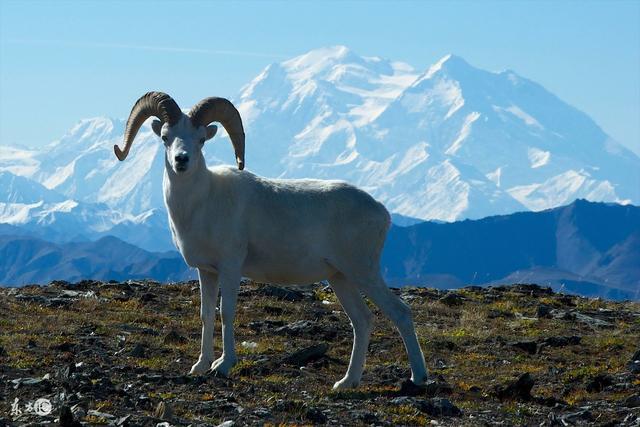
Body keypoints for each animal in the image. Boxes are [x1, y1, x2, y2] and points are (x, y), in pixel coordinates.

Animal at [114, 92, 430, 390]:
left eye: (201, 140)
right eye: (165, 138)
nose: (182, 160)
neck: (202, 203)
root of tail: (381, 212)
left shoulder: (231, 268)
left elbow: (226, 313)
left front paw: (223, 365)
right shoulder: (207, 271)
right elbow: (206, 314)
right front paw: (200, 366)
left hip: (362, 271)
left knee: (400, 313)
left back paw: (418, 378)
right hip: (340, 278)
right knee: (362, 321)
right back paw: (346, 382)